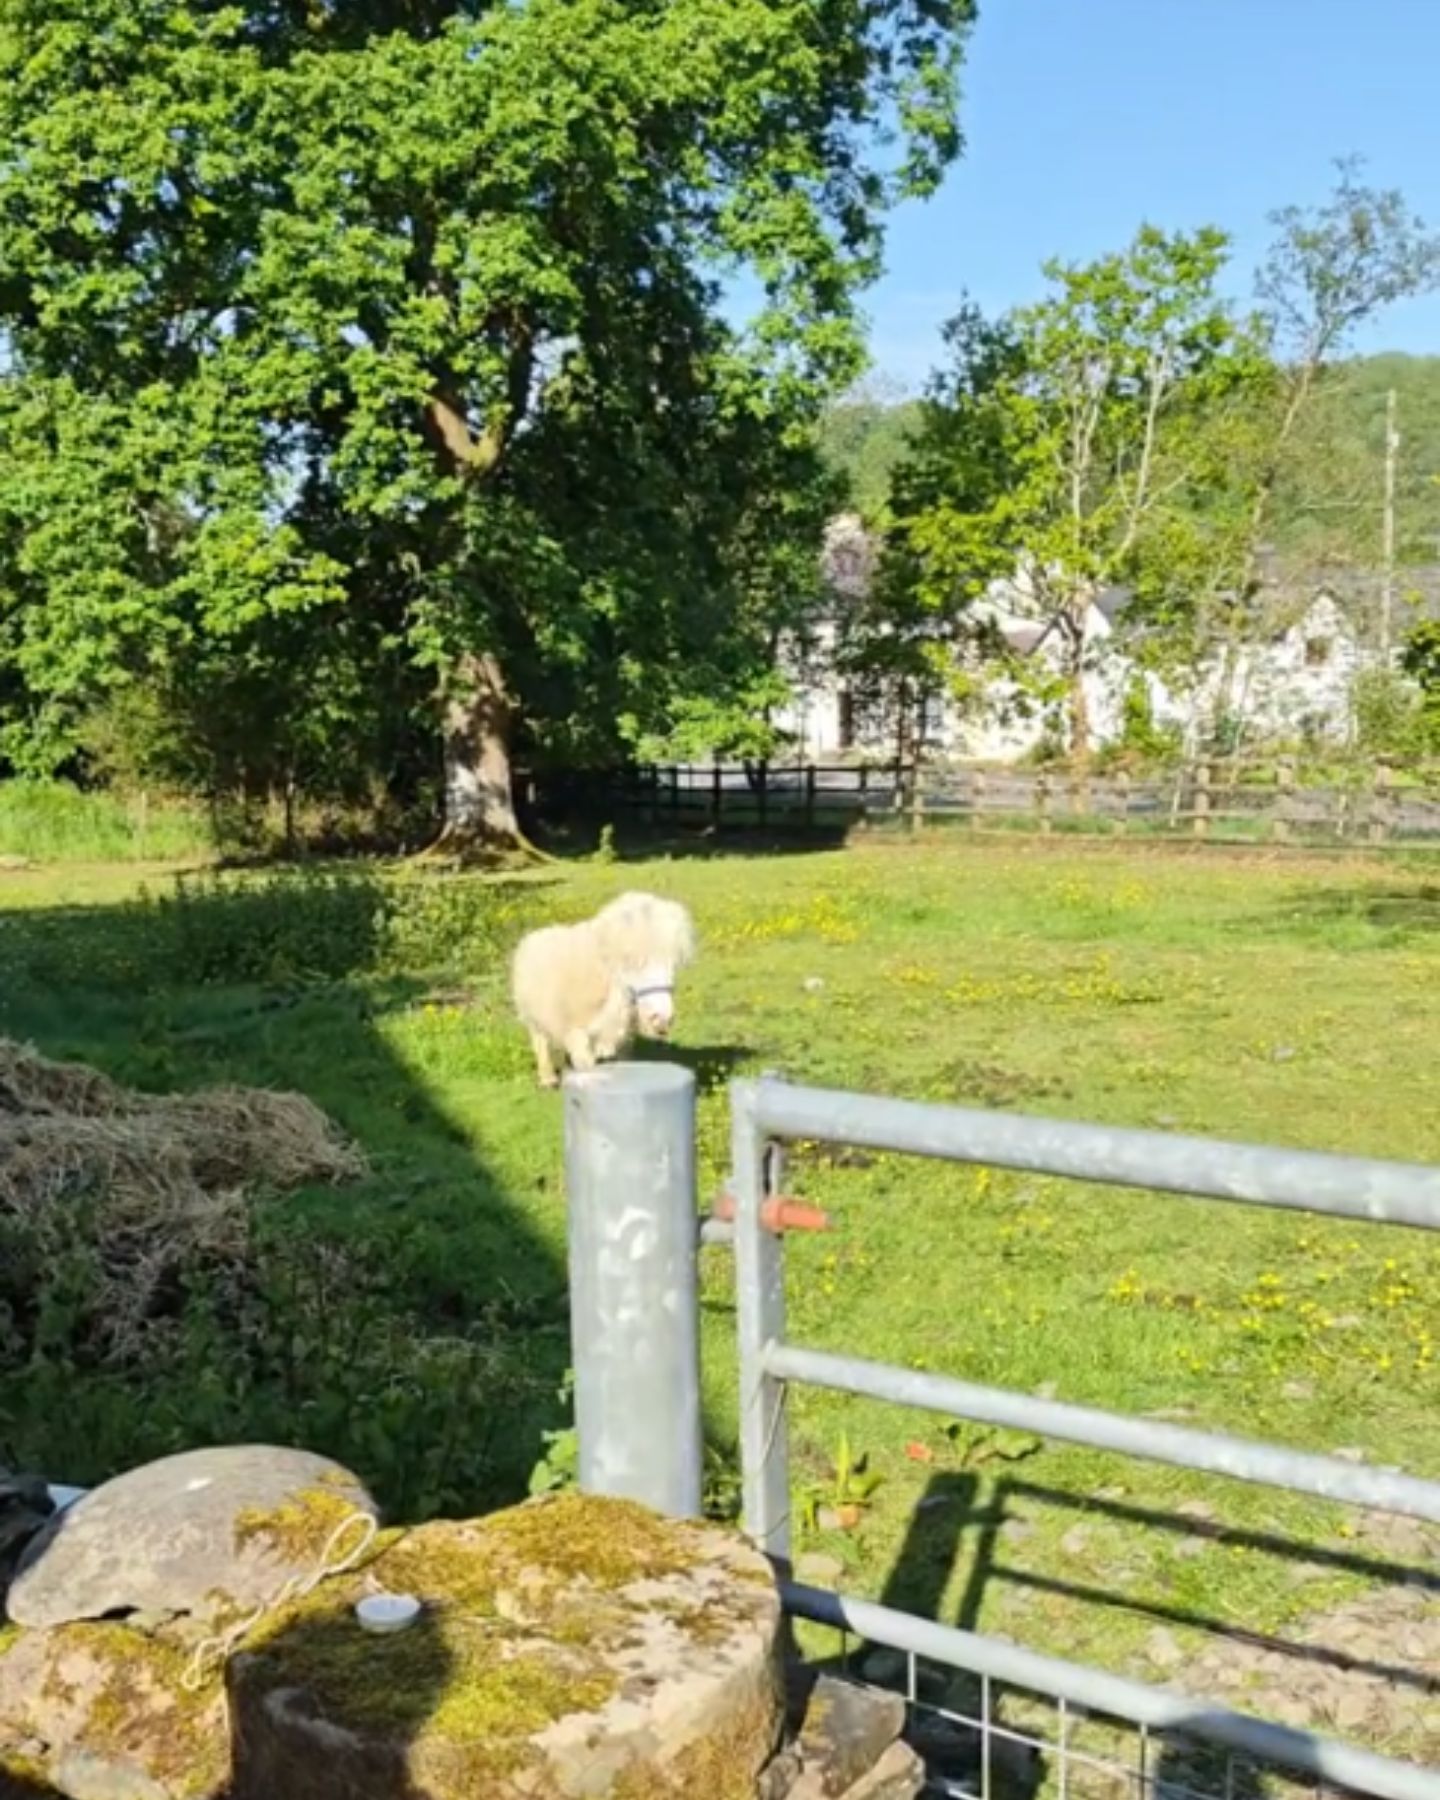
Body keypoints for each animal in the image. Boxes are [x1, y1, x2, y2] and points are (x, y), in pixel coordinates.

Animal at [511, 885, 698, 1080]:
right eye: (631, 962)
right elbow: (587, 1068)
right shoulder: (578, 1035)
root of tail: (538, 932)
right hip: (532, 1018)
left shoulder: (623, 1039)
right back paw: (548, 1078)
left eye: (674, 966)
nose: (662, 1018)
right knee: (540, 1043)